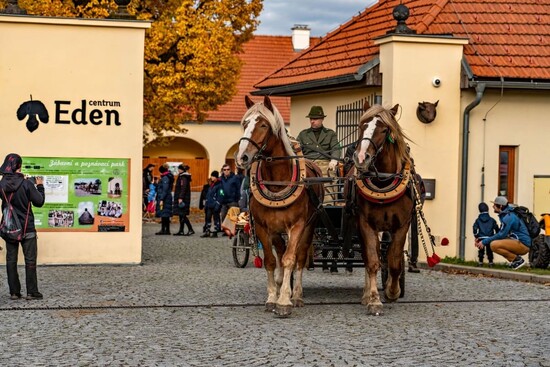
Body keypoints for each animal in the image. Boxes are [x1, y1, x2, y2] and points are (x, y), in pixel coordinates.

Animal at [236, 96, 324, 318]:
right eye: (245, 123)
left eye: (263, 125)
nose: (242, 157)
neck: (277, 181)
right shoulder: (264, 227)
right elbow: (270, 261)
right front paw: (272, 297)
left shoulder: (297, 225)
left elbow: (290, 259)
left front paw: (284, 301)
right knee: (281, 252)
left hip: (309, 227)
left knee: (300, 257)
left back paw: (297, 295)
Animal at [352, 103, 416, 316]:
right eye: (361, 125)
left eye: (384, 129)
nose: (361, 158)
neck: (384, 182)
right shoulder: (366, 224)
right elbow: (372, 261)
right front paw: (373, 299)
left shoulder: (402, 225)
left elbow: (394, 262)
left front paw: (392, 291)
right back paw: (365, 295)